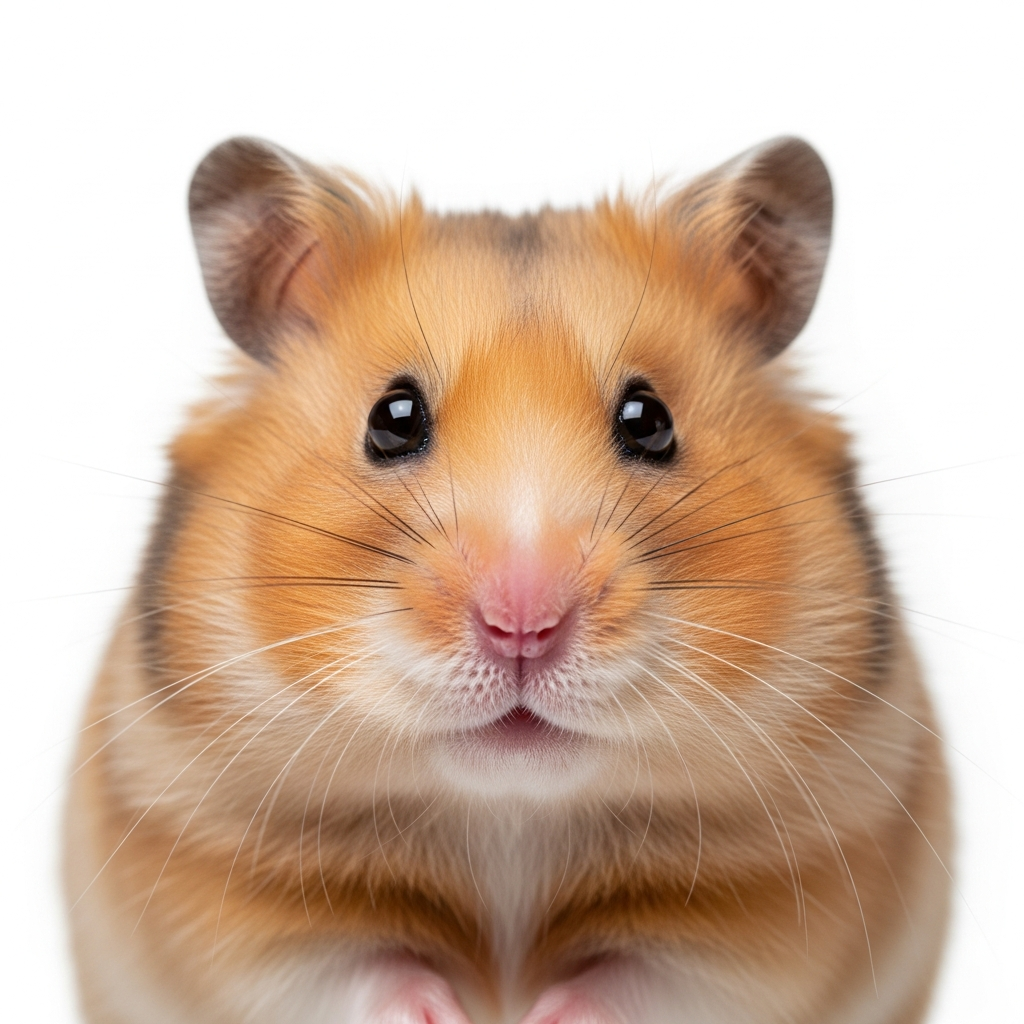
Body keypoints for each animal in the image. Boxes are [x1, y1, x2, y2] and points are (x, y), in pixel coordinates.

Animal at [63, 136, 952, 1024]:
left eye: (650, 421)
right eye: (392, 418)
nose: (523, 625)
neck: (510, 812)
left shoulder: (783, 898)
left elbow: (642, 979)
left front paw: (546, 1014)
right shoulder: (222, 888)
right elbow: (360, 970)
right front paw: (442, 1012)